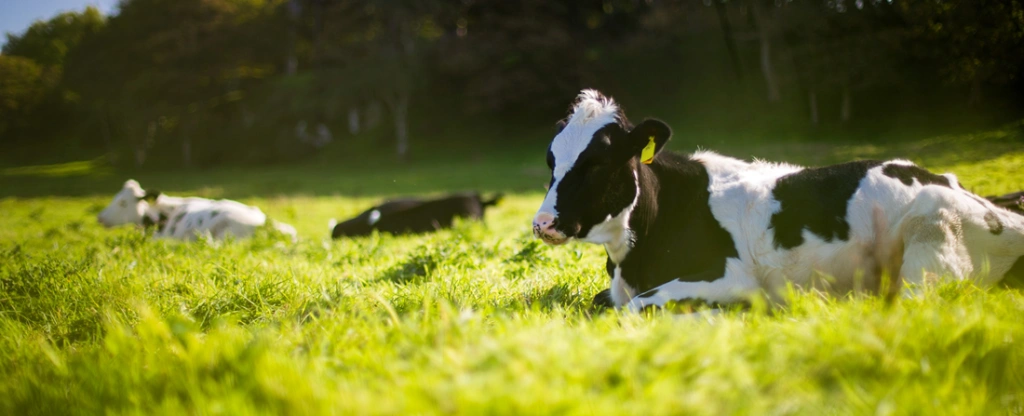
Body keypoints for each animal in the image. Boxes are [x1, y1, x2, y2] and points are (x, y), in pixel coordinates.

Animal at [532, 90, 1024, 311]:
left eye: (598, 163)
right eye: (551, 159)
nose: (542, 223)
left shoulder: (730, 276)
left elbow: (636, 307)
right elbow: (604, 302)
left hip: (932, 240)